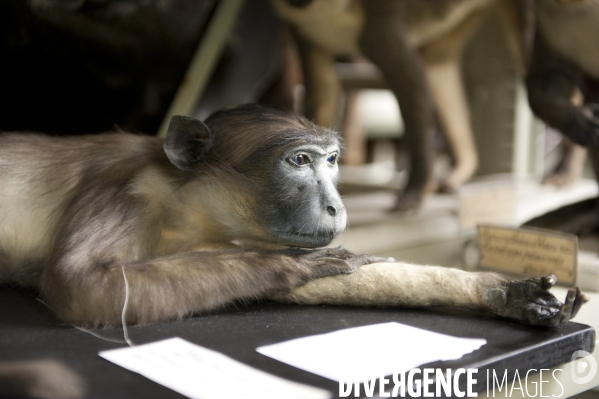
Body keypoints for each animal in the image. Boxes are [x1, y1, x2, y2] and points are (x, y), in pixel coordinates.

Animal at [0, 104, 592, 332]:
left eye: (331, 161)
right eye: (300, 161)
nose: (336, 203)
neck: (179, 199)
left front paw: (496, 290)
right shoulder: (124, 193)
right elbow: (81, 284)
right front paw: (288, 267)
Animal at [270, 0, 532, 211]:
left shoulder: (381, 30)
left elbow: (414, 98)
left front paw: (415, 192)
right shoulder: (308, 37)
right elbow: (321, 98)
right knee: (439, 66)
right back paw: (459, 171)